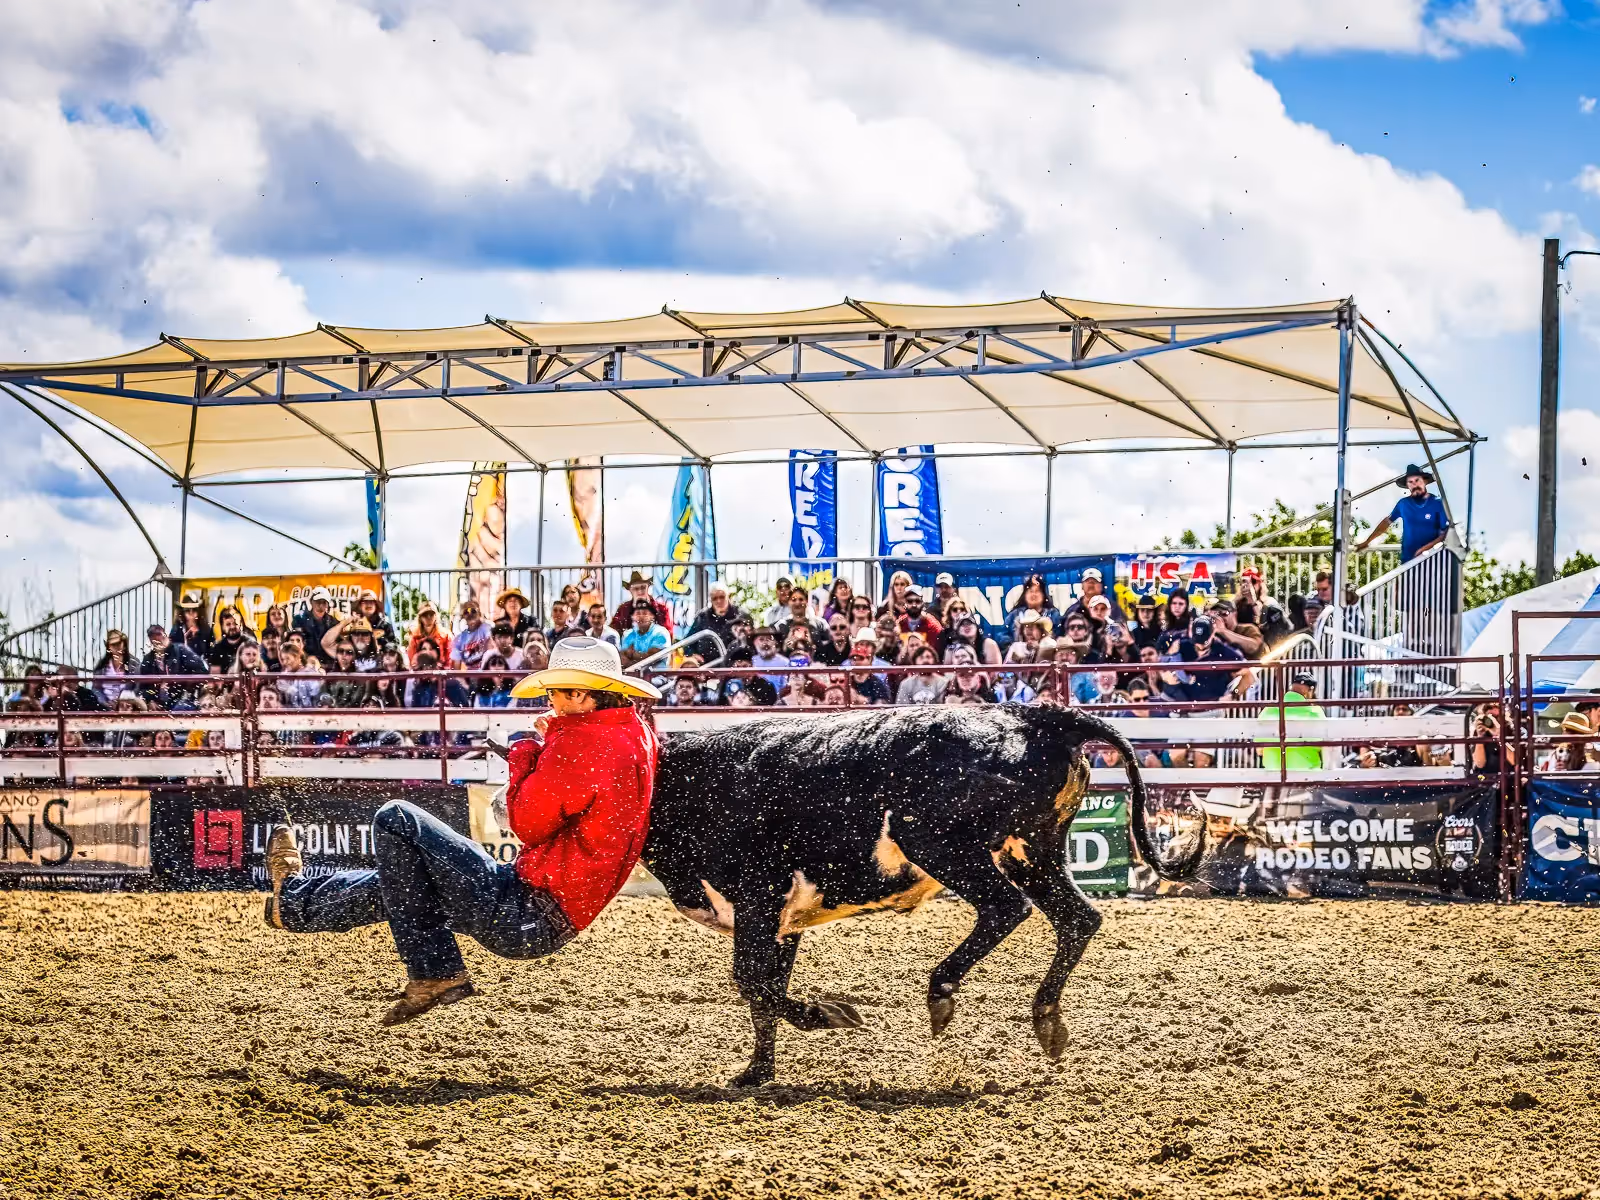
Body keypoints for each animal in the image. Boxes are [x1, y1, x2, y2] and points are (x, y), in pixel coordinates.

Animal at [641, 702, 1204, 1087]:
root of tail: (1030, 716)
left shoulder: (760, 897)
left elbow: (752, 980)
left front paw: (830, 1016)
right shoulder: (782, 920)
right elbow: (765, 987)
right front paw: (757, 1072)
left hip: (943, 846)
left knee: (1006, 908)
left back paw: (941, 992)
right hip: (1033, 850)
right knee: (1078, 918)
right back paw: (1046, 1020)